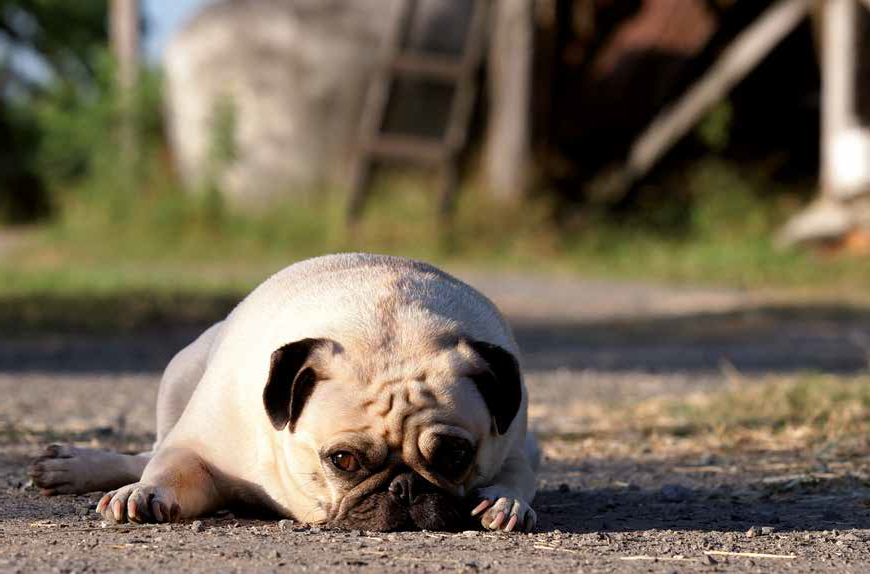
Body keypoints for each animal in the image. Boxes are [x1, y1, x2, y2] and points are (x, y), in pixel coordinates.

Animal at [29, 254, 540, 532]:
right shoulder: (197, 448)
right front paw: (145, 492)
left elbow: (517, 475)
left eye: (455, 455)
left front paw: (503, 502)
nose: (405, 486)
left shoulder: (517, 442)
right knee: (150, 452)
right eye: (343, 461)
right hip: (179, 373)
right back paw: (77, 466)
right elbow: (169, 468)